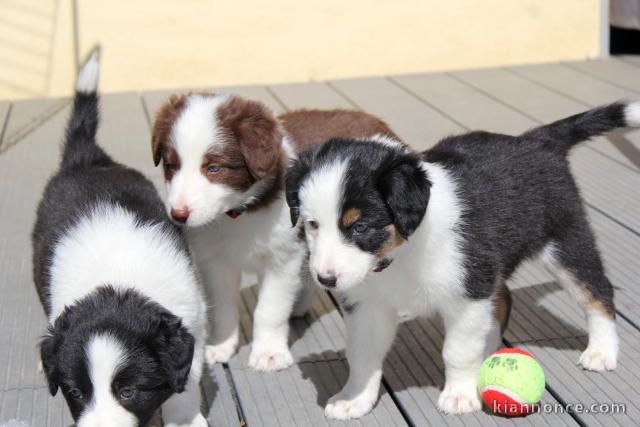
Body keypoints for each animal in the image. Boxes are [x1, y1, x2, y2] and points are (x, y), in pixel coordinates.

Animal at [32, 51, 208, 427]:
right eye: (75, 393)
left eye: (128, 392)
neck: (117, 280)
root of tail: (87, 157)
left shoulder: (194, 322)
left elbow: (186, 384)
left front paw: (185, 419)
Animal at [152, 94, 398, 372]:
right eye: (171, 165)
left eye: (213, 168)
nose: (178, 214)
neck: (240, 213)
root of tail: (372, 118)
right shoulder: (215, 262)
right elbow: (222, 305)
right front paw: (221, 345)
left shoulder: (283, 259)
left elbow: (269, 309)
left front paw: (269, 353)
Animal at [286, 102, 640, 420]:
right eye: (312, 224)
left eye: (359, 227)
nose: (325, 280)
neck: (400, 253)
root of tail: (538, 140)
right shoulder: (367, 305)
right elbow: (362, 354)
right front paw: (354, 399)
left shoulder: (468, 292)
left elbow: (456, 350)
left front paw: (459, 395)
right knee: (504, 298)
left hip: (565, 240)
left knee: (598, 293)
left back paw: (601, 351)